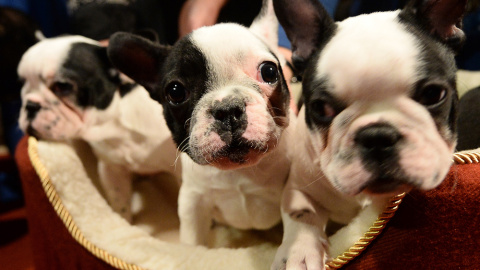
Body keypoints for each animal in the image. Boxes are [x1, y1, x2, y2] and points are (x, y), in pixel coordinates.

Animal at [17, 35, 180, 221]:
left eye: (62, 86)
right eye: (22, 85)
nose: (30, 105)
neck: (117, 126)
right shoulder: (112, 170)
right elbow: (120, 204)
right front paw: (124, 221)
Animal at [109, 0, 296, 246]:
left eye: (269, 71)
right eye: (176, 92)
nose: (228, 110)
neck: (239, 172)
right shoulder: (192, 203)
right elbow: (194, 242)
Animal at [270, 0, 464, 268]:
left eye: (434, 94)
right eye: (321, 108)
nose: (378, 136)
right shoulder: (298, 188)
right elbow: (302, 215)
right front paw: (298, 252)